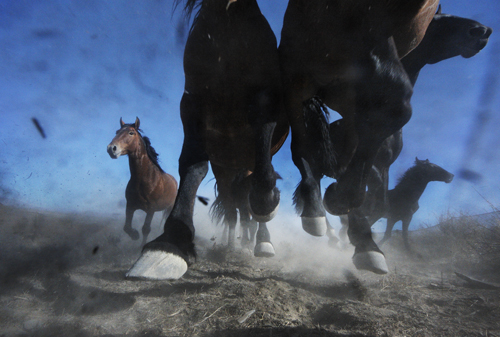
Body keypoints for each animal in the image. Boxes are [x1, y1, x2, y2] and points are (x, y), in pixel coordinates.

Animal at [107, 117, 178, 245]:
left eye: (131, 133)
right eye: (117, 132)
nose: (111, 148)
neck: (144, 180)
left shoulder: (151, 210)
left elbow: (146, 229)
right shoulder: (130, 205)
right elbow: (126, 227)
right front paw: (134, 235)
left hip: (169, 208)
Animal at [125, 0, 290, 278]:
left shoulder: (266, 95)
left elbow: (261, 175)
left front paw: (267, 202)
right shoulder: (192, 104)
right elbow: (192, 166)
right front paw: (170, 243)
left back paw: (261, 241)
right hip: (224, 169)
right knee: (234, 207)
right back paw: (231, 245)